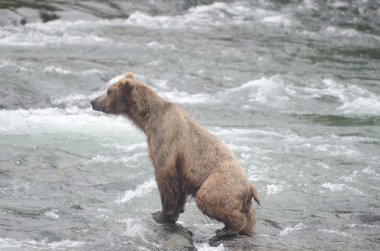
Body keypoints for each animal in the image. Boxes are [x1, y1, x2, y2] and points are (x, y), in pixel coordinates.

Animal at [90, 72, 260, 237]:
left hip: (220, 183)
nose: (93, 101)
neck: (148, 120)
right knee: (250, 215)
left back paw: (226, 230)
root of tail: (250, 188)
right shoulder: (180, 163)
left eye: (109, 91)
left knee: (208, 198)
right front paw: (176, 211)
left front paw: (161, 215)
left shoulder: (167, 139)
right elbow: (179, 184)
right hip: (242, 199)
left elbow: (165, 175)